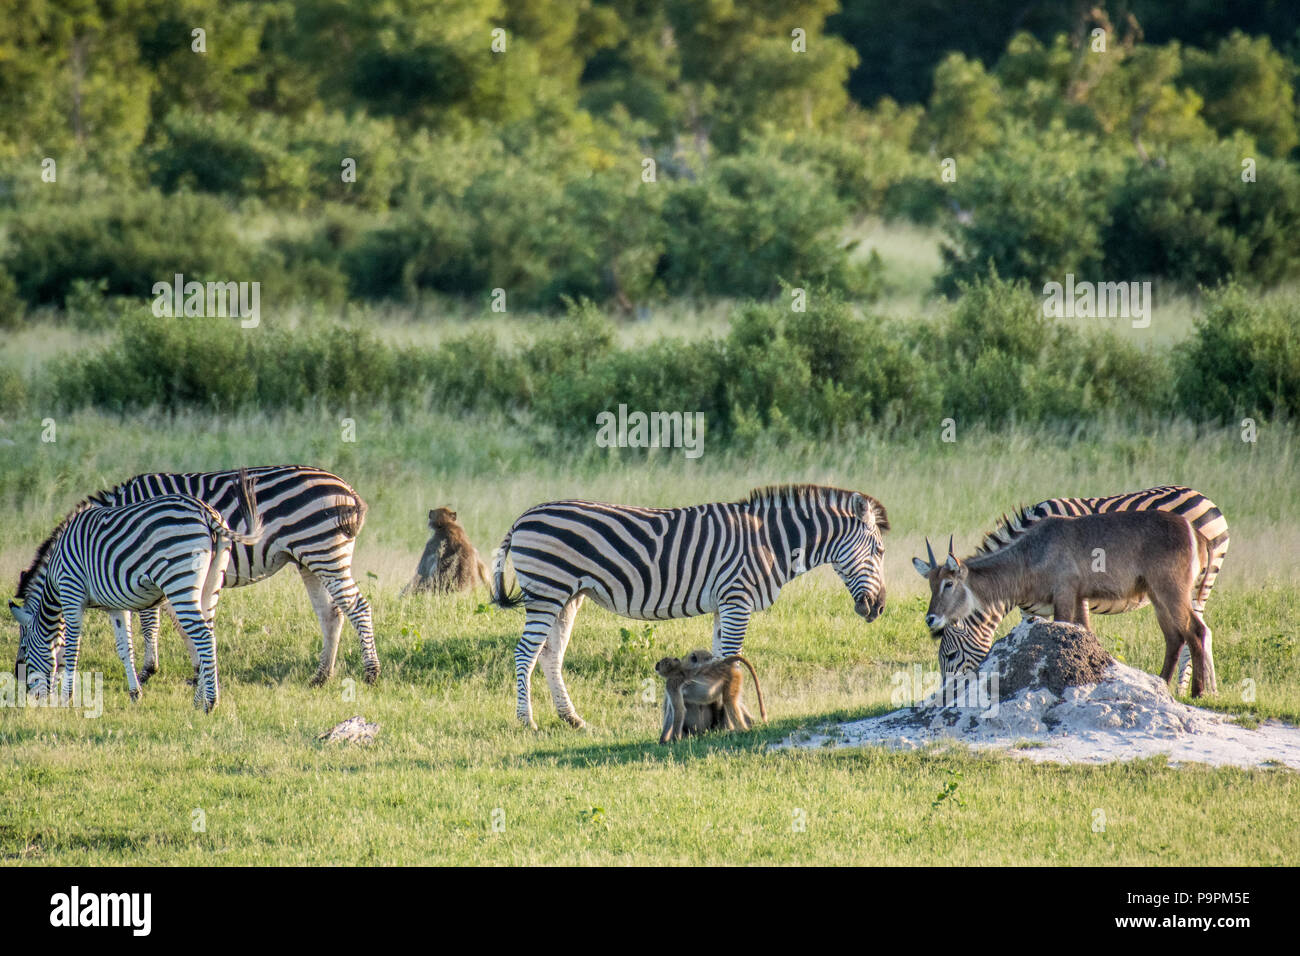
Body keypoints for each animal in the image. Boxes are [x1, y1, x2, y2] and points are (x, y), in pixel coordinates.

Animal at [9, 470, 263, 712]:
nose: (30, 697)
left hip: (179, 580)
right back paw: (198, 701)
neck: (54, 576)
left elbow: (70, 648)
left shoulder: (72, 592)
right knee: (208, 631)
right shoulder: (114, 607)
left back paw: (210, 703)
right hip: (211, 583)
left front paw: (66, 698)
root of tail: (206, 512)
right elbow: (124, 648)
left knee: (203, 635)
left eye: (24, 649)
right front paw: (135, 694)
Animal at [81, 465, 379, 686]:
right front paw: (198, 670)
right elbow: (182, 623)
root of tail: (348, 489)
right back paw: (321, 677)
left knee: (358, 607)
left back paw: (370, 673)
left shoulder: (150, 569)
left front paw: (148, 671)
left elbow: (152, 622)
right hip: (309, 559)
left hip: (323, 551)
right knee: (332, 613)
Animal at [491, 481, 889, 728]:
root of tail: (523, 517)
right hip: (547, 592)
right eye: (880, 551)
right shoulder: (737, 599)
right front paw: (729, 718)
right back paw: (527, 721)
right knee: (525, 652)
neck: (771, 543)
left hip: (567, 597)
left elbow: (720, 661)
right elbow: (732, 661)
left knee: (550, 655)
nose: (880, 609)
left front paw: (716, 715)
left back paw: (572, 719)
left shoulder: (724, 605)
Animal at [956, 486, 1227, 697]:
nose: (953, 693)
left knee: (1197, 632)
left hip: (1192, 585)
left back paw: (1190, 690)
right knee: (1199, 632)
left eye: (951, 655)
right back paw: (1206, 690)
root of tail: (1205, 499)